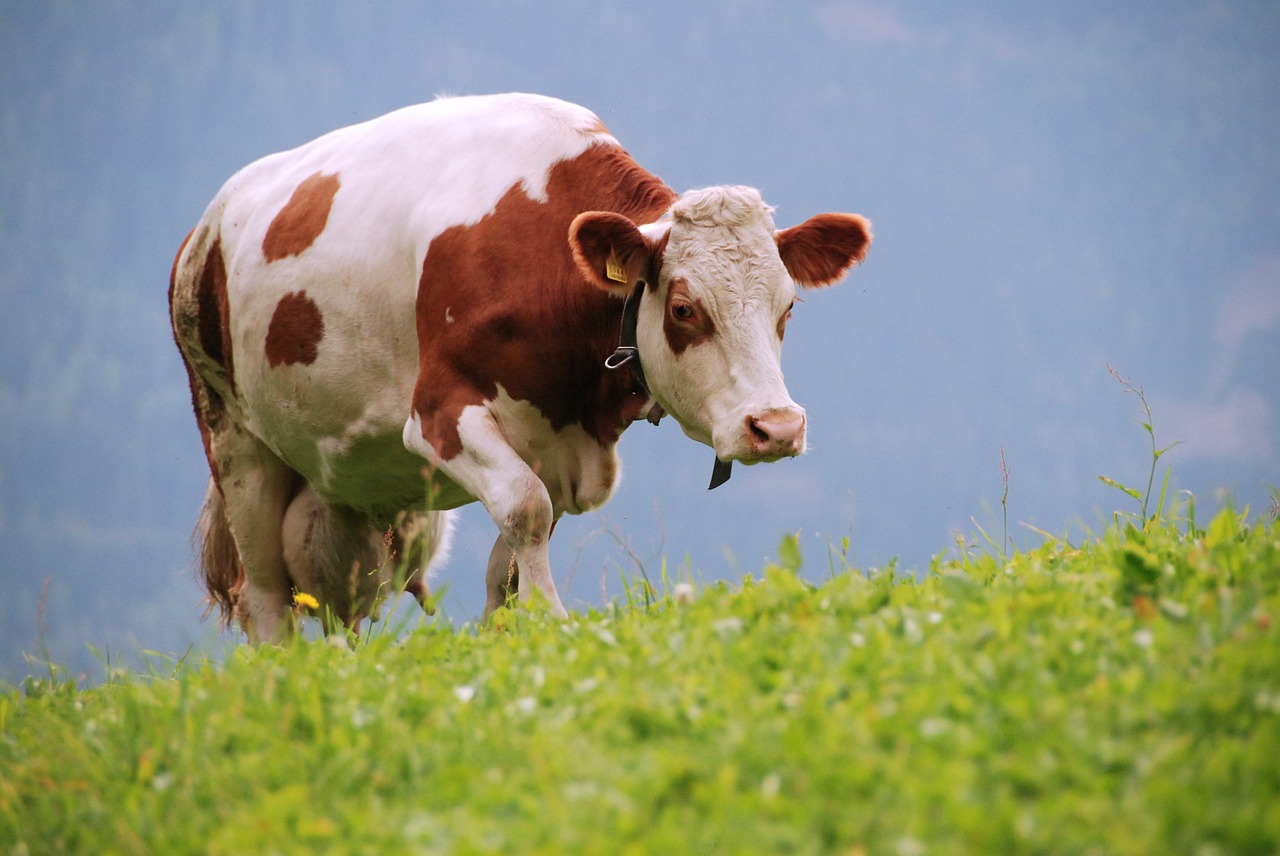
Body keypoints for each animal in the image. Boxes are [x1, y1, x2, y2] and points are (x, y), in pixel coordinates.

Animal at [167, 93, 870, 639]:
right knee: (265, 594)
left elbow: (510, 557)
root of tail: (202, 231)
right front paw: (555, 627)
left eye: (787, 306)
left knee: (334, 596)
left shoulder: (555, 446)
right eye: (683, 308)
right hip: (234, 438)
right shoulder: (440, 413)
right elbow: (525, 509)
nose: (776, 428)